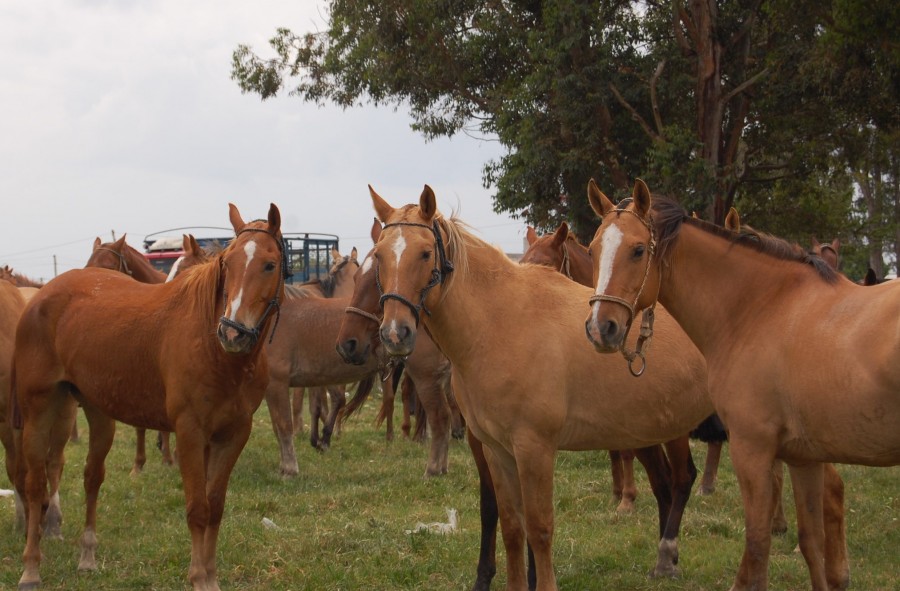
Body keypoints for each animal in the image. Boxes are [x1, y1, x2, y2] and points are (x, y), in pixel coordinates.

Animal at [358, 186, 716, 591]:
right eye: (380, 256)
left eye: (424, 253)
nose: (395, 334)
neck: (500, 322)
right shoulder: (498, 451)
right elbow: (512, 527)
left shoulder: (535, 448)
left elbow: (540, 529)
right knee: (666, 484)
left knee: (684, 480)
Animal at [584, 179, 872, 591]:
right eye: (591, 250)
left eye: (638, 250)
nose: (600, 327)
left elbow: (679, 480)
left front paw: (667, 554)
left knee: (830, 489)